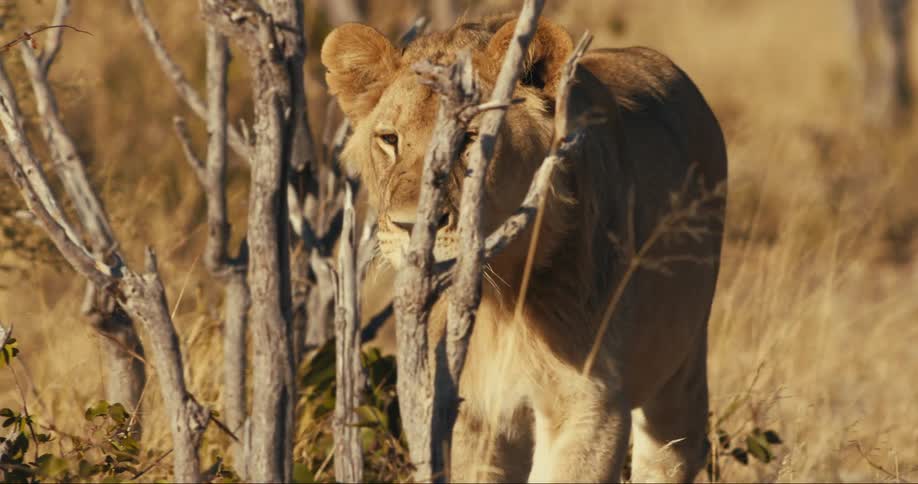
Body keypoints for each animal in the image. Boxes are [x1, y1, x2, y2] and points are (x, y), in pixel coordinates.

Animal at [322, 14, 727, 483]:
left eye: (471, 138)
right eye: (389, 139)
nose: (411, 226)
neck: (500, 295)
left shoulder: (590, 404)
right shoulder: (466, 413)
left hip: (681, 366)